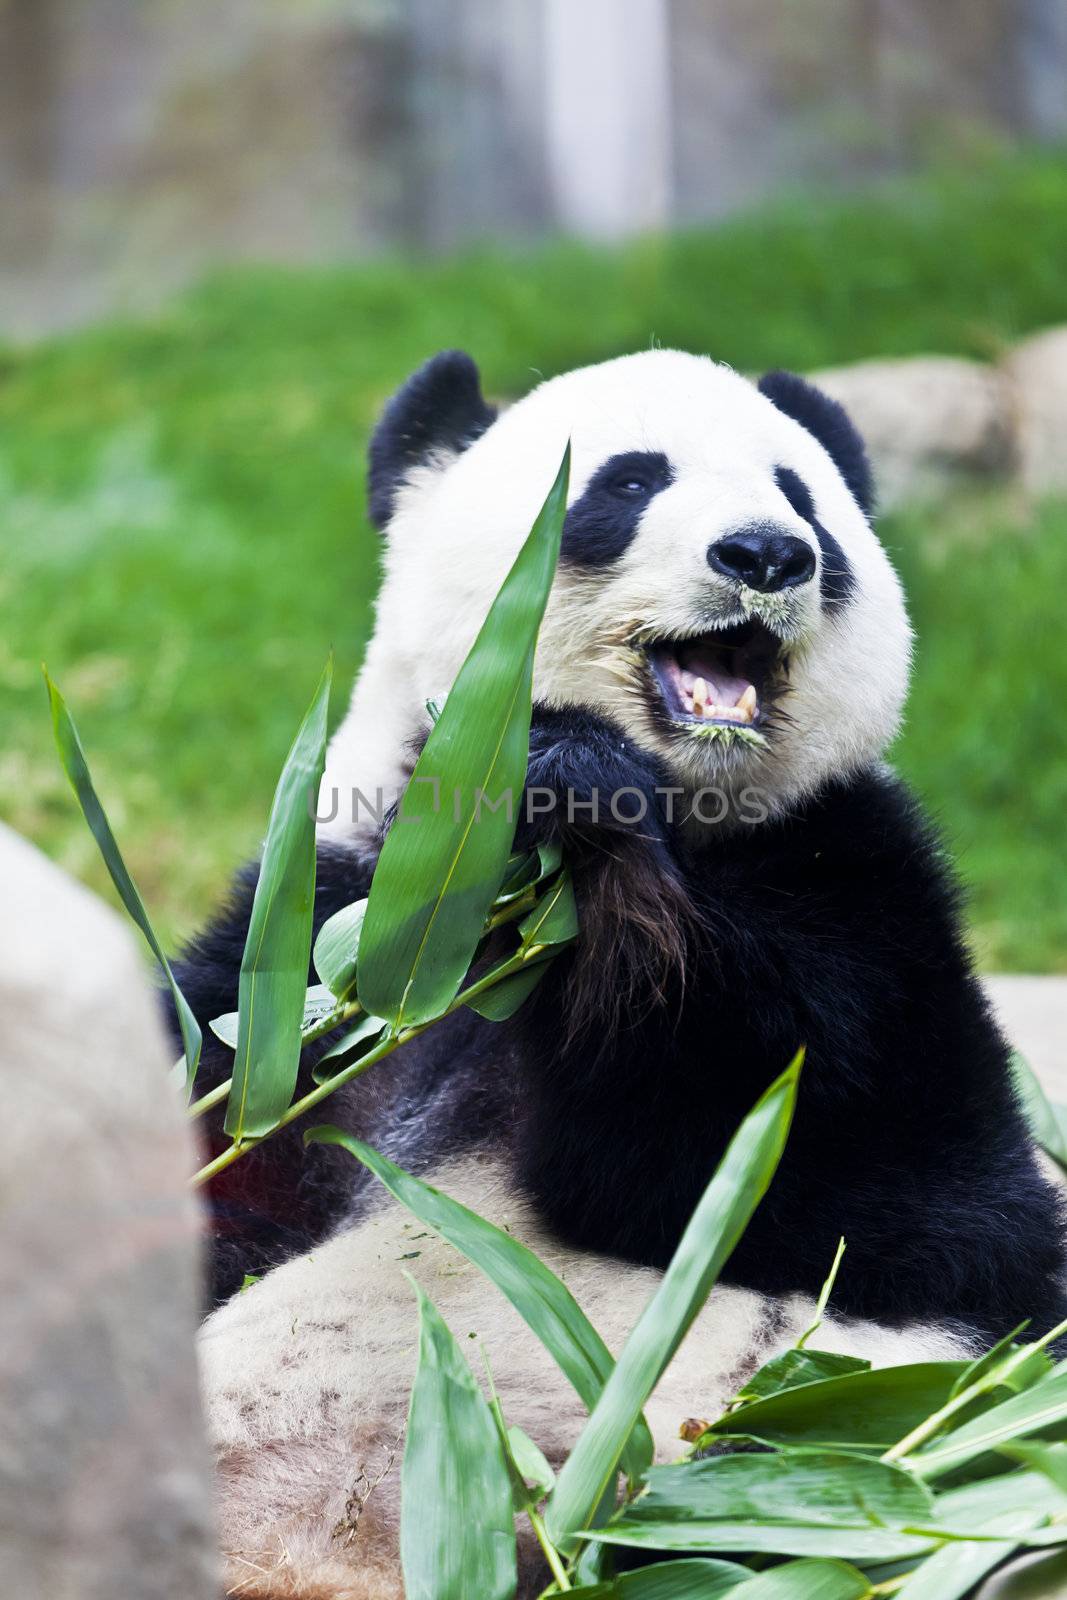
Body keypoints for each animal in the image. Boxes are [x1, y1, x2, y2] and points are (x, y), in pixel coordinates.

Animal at [177, 350, 1067, 1600]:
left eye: (800, 496)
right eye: (628, 482)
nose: (766, 554)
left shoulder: (864, 888)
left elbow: (886, 1196)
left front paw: (592, 830)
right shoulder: (318, 938)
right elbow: (221, 1150)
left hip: (809, 1450)